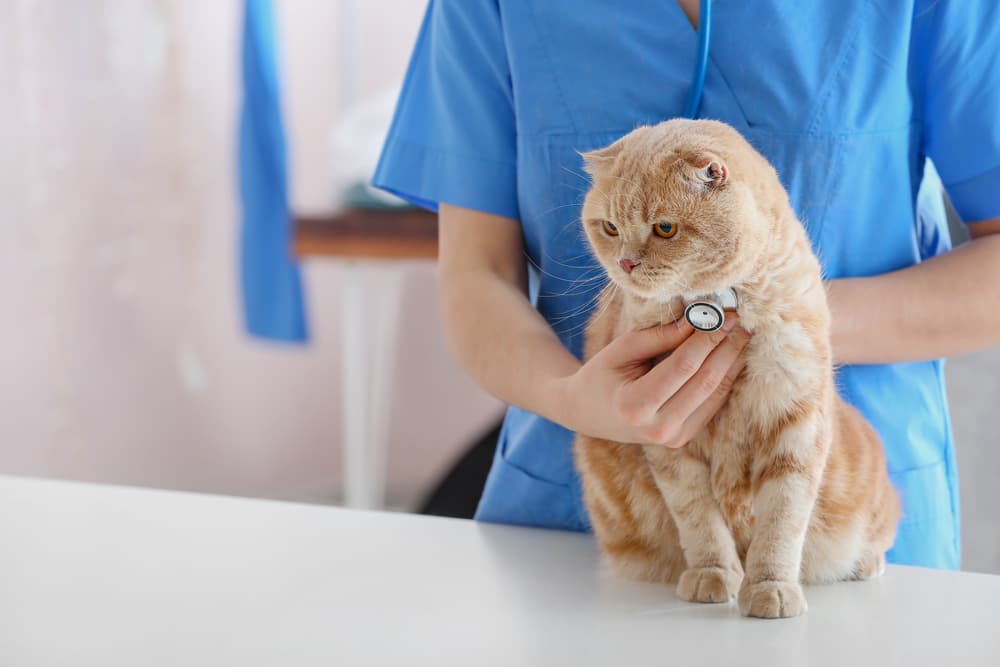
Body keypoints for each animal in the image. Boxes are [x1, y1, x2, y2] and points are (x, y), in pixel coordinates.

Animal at [576, 120, 904, 620]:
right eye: (610, 227)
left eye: (665, 228)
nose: (626, 263)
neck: (722, 303)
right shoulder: (672, 442)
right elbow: (699, 520)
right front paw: (713, 575)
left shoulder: (796, 421)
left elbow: (782, 521)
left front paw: (771, 587)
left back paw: (864, 563)